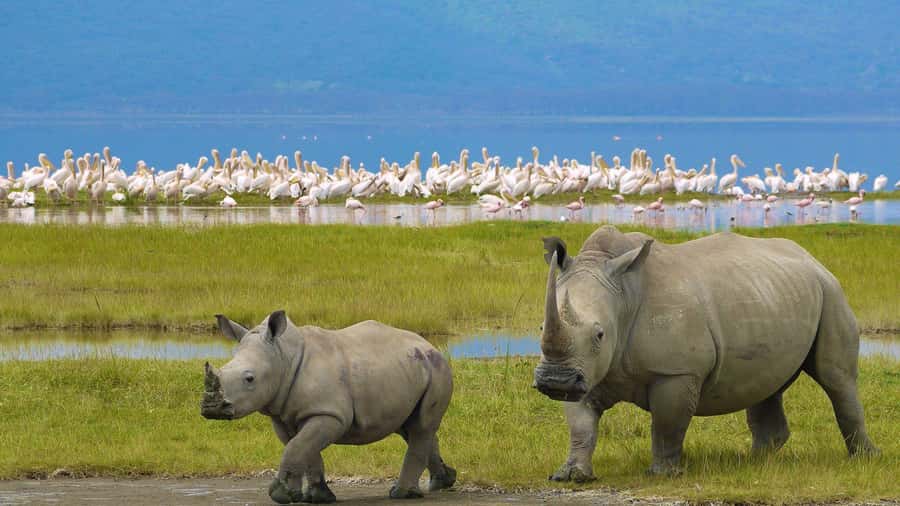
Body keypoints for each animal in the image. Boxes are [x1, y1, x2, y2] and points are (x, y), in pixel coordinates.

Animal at [201, 311, 456, 503]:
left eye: (249, 379)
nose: (210, 408)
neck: (283, 357)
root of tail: (428, 344)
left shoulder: (329, 414)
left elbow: (296, 447)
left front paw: (280, 496)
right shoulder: (285, 416)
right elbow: (303, 449)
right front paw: (315, 497)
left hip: (437, 369)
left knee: (421, 427)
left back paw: (401, 494)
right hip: (411, 369)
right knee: (411, 427)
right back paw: (442, 482)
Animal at [533, 225, 878, 479]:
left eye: (599, 334)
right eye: (540, 327)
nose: (554, 381)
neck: (623, 296)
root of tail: (813, 259)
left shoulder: (676, 371)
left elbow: (667, 424)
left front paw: (663, 474)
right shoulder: (585, 370)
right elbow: (581, 424)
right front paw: (571, 476)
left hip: (831, 292)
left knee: (836, 379)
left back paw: (865, 458)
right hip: (773, 293)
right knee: (768, 382)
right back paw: (755, 461)